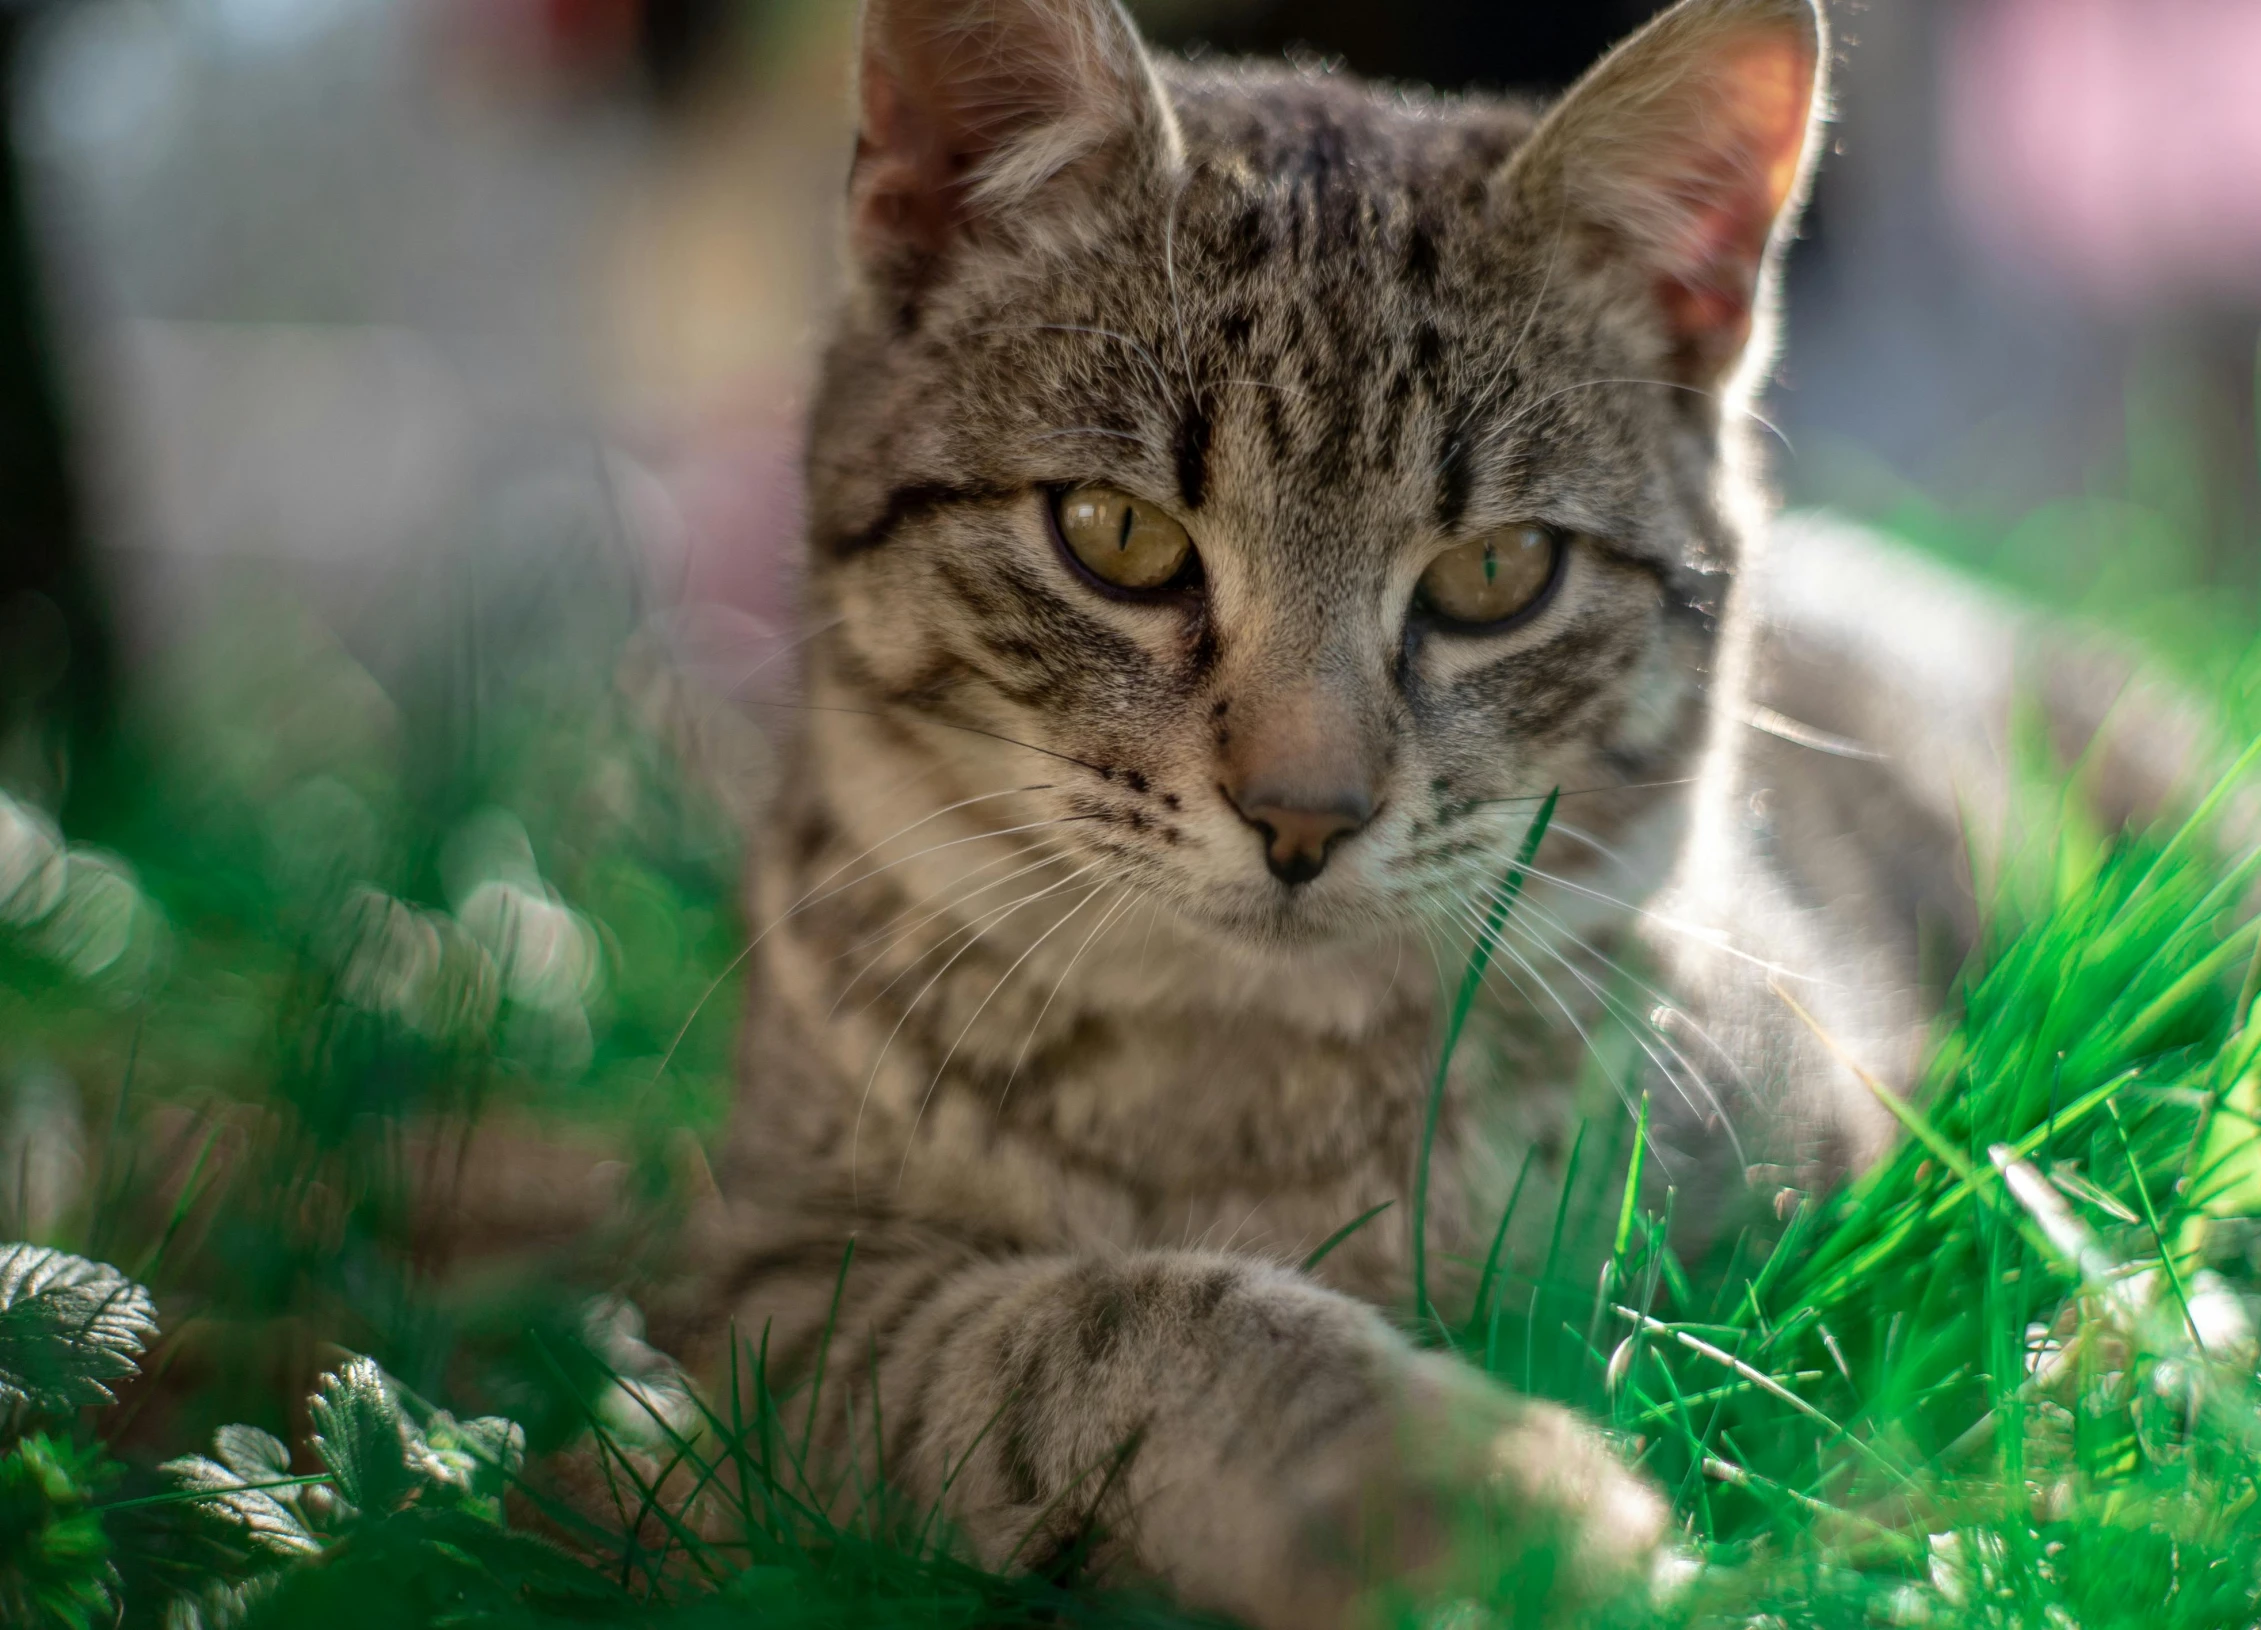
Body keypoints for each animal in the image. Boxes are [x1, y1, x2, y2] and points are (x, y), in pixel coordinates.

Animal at [664, 0, 1908, 1618]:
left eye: (1495, 571)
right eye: (1117, 533)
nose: (1304, 815)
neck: (1251, 1082)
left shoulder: (1830, 1195)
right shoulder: (763, 1306)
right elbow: (1085, 1331)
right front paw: (1441, 1474)